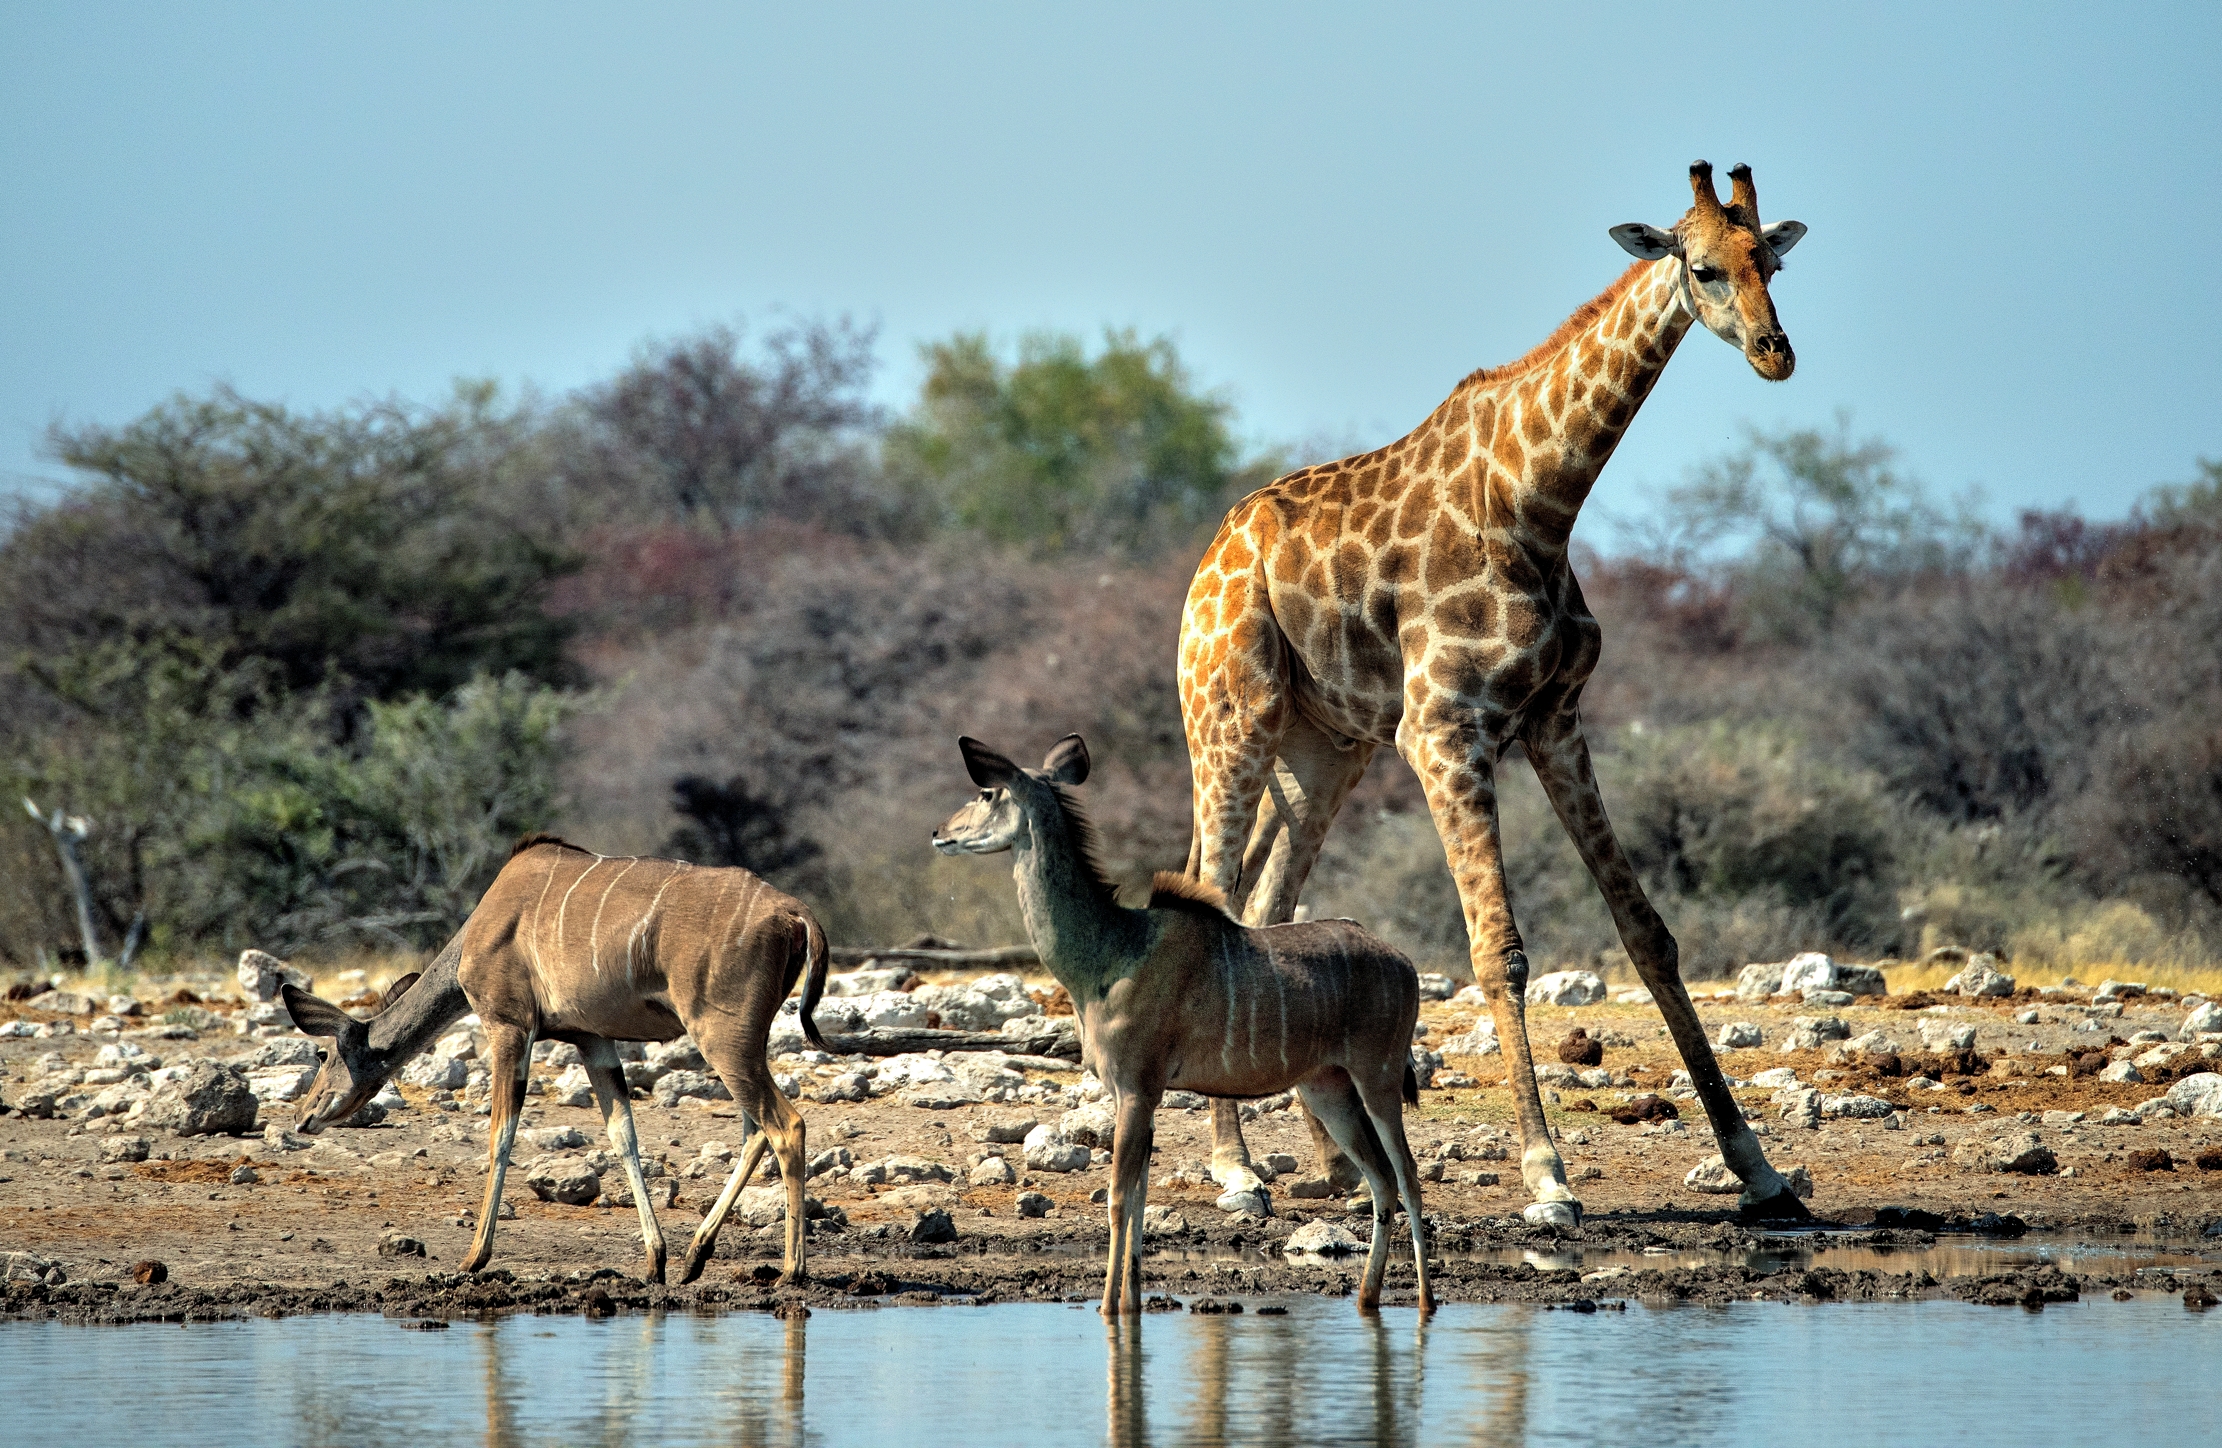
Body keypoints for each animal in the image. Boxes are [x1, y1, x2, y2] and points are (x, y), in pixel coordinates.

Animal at [1177, 161, 1812, 1227]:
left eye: (1772, 261)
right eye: (1703, 267)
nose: (1777, 355)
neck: (1538, 504)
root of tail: (1207, 561)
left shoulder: (1555, 721)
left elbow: (1648, 933)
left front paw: (1756, 1168)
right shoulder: (1446, 729)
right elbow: (1499, 949)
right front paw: (1548, 1177)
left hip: (1326, 749)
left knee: (1267, 904)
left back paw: (1330, 1162)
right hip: (1230, 720)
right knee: (1216, 894)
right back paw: (1235, 1171)